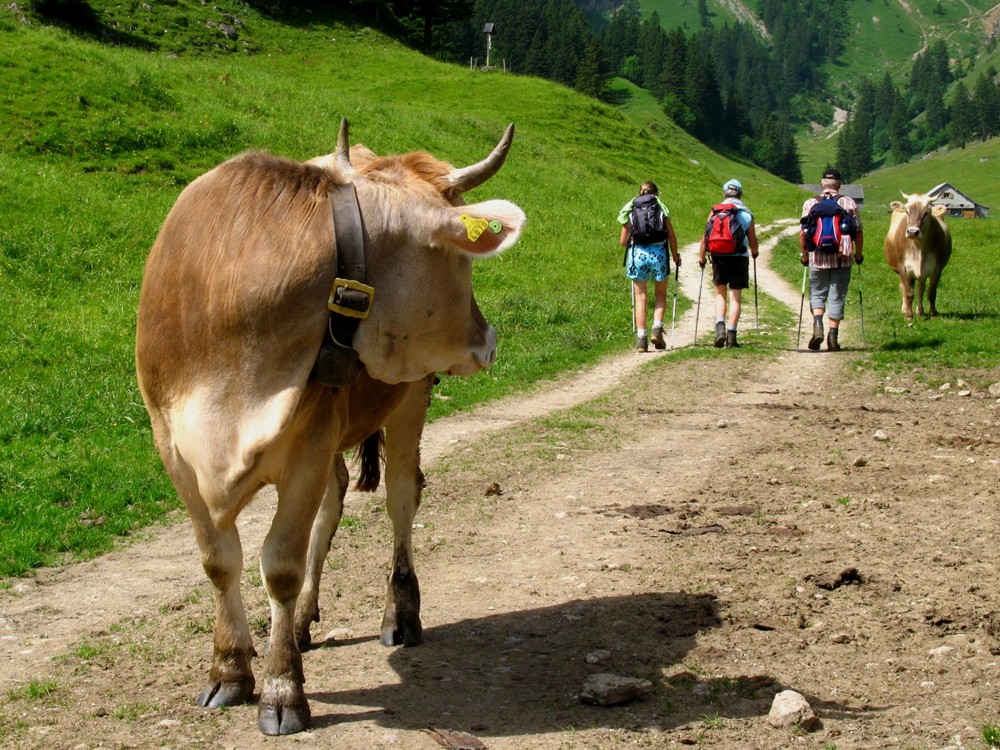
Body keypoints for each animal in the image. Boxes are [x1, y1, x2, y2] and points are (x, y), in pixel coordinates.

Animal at [137, 120, 528, 736]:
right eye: (461, 261)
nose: (488, 339)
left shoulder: (308, 445)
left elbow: (280, 565)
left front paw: (281, 690)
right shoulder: (173, 448)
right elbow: (218, 560)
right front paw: (230, 668)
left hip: (410, 391)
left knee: (401, 496)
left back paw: (400, 613)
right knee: (335, 500)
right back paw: (300, 623)